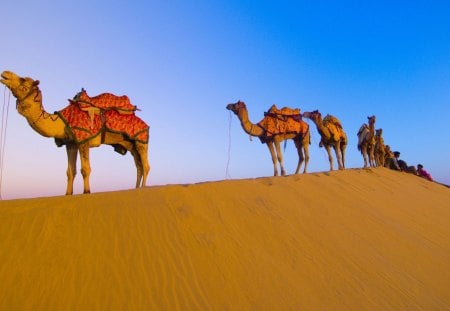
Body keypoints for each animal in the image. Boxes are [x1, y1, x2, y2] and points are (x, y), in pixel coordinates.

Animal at [0, 70, 150, 195]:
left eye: (23, 80)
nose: (5, 73)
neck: (61, 122)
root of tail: (145, 123)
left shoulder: (84, 140)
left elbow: (85, 169)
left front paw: (86, 192)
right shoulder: (70, 144)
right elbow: (70, 172)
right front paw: (68, 194)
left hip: (141, 140)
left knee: (145, 166)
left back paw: (143, 187)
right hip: (130, 144)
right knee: (138, 166)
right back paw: (136, 188)